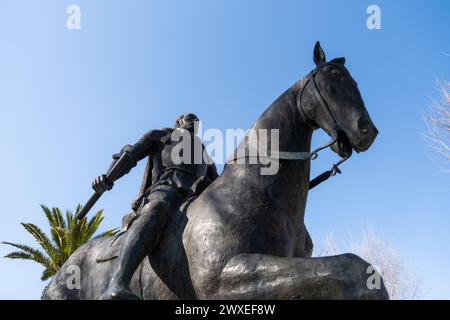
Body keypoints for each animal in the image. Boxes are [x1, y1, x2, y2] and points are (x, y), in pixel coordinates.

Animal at [43, 42, 386, 300]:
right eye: (332, 80)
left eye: (353, 82)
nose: (366, 131)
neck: (263, 190)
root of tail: (62, 269)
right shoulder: (222, 279)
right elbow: (353, 269)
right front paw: (104, 180)